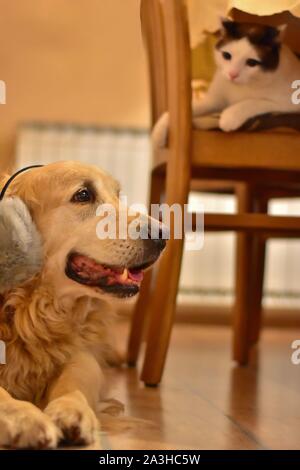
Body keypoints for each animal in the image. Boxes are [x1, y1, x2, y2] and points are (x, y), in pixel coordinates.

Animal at [0, 162, 165, 448]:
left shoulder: (80, 353)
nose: (163, 235)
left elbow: (76, 378)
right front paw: (23, 417)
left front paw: (71, 411)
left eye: (117, 194)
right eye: (83, 195)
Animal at [154, 19, 300, 146]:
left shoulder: (290, 103)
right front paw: (158, 133)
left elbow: (255, 101)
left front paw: (229, 116)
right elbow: (184, 109)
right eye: (226, 56)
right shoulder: (213, 101)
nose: (232, 74)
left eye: (252, 62)